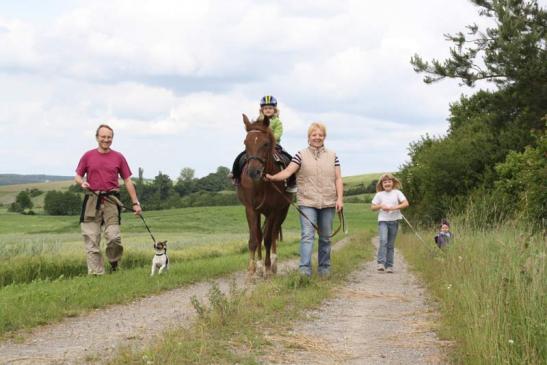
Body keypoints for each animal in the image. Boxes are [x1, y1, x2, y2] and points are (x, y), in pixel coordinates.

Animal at [238, 114, 294, 276]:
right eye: (245, 143)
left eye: (266, 144)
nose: (253, 172)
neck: (261, 183)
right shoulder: (251, 209)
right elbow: (254, 239)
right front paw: (252, 269)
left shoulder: (273, 211)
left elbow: (268, 239)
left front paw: (268, 268)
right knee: (259, 235)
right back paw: (259, 265)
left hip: (282, 211)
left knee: (274, 233)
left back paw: (273, 264)